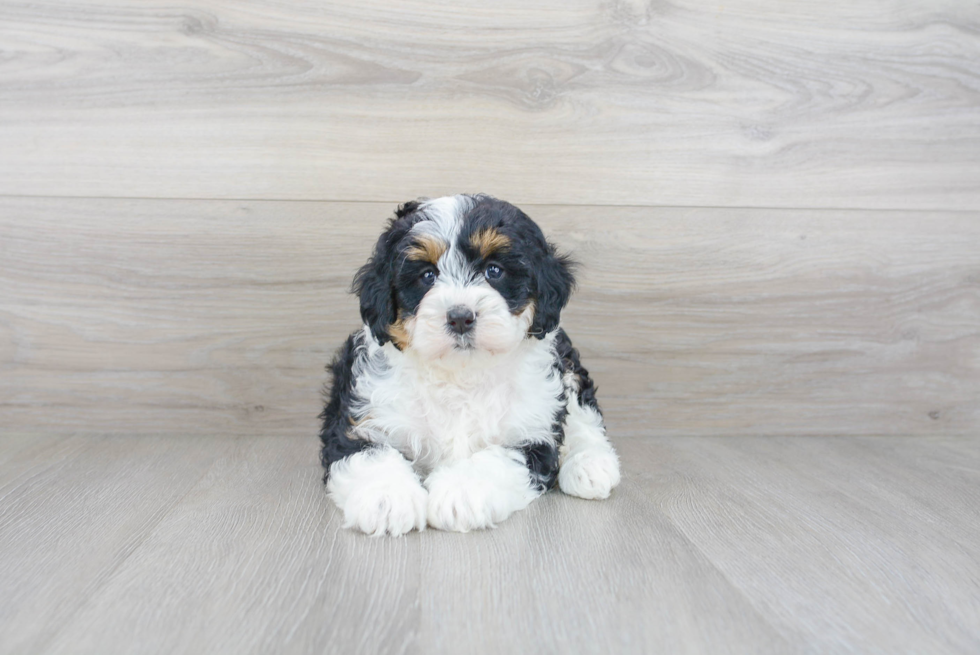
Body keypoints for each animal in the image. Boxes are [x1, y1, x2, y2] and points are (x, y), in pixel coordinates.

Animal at [318, 192, 620, 536]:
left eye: (494, 271)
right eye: (427, 276)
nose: (460, 317)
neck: (460, 374)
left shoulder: (532, 431)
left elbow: (497, 460)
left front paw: (461, 493)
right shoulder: (362, 417)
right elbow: (369, 454)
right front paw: (388, 498)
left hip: (567, 367)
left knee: (584, 416)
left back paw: (590, 464)